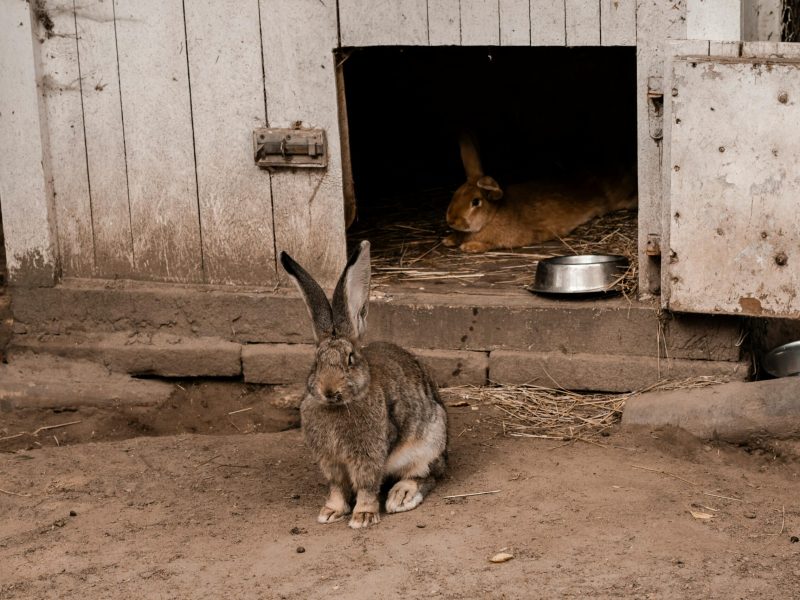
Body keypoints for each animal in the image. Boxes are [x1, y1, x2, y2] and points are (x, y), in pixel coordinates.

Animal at [280, 240, 448, 529]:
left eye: (350, 359)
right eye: (316, 361)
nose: (328, 390)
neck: (341, 406)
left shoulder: (368, 457)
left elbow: (367, 485)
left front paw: (363, 516)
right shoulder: (331, 461)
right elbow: (337, 487)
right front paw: (331, 511)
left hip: (429, 443)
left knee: (427, 475)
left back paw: (401, 496)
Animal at [443, 132, 638, 253]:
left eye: (475, 202)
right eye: (456, 193)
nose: (451, 220)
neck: (492, 216)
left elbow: (489, 244)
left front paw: (470, 247)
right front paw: (449, 240)